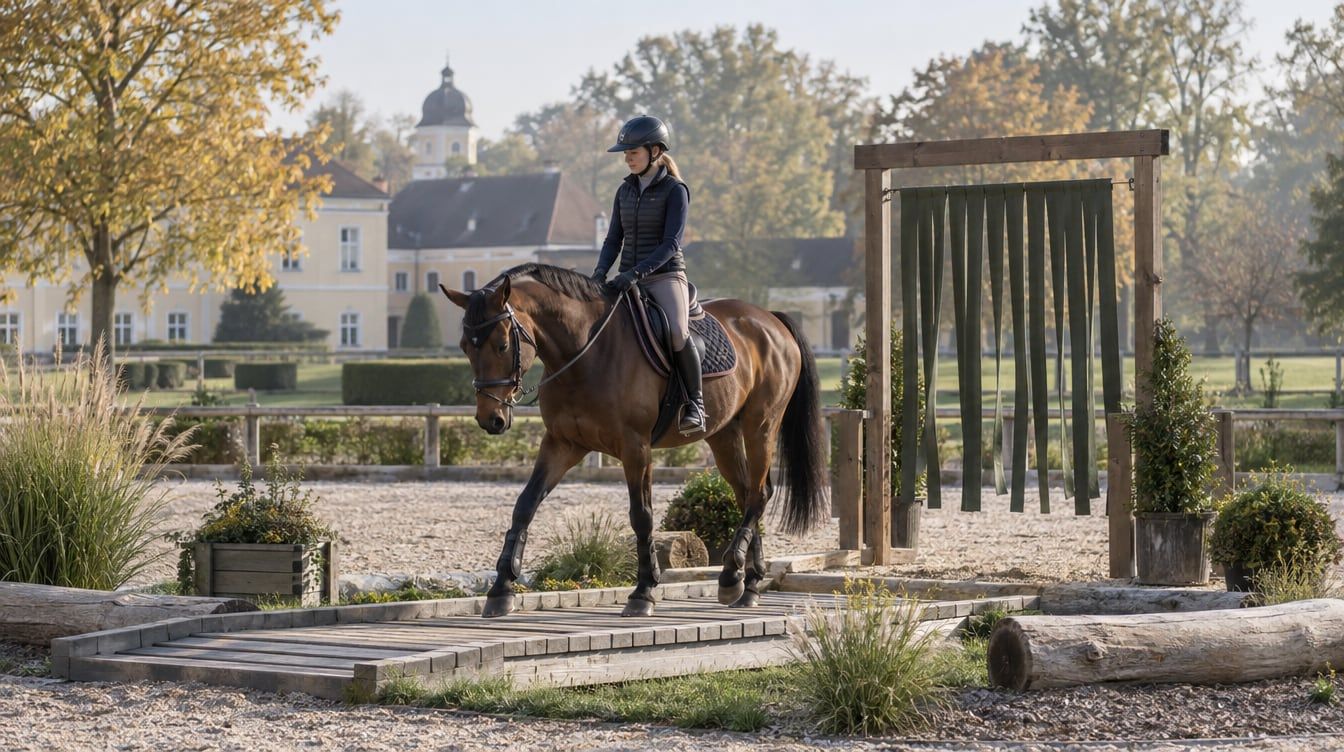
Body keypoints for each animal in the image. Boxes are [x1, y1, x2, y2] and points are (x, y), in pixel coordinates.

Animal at [441, 263, 827, 618]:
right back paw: (748, 586)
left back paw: (732, 575)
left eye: (503, 344)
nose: (491, 419)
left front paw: (643, 593)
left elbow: (641, 515)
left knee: (759, 493)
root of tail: (770, 319)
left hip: (761, 425)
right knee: (747, 493)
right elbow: (525, 505)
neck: (584, 351)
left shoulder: (635, 447)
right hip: (724, 435)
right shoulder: (562, 444)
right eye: (464, 348)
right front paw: (500, 589)